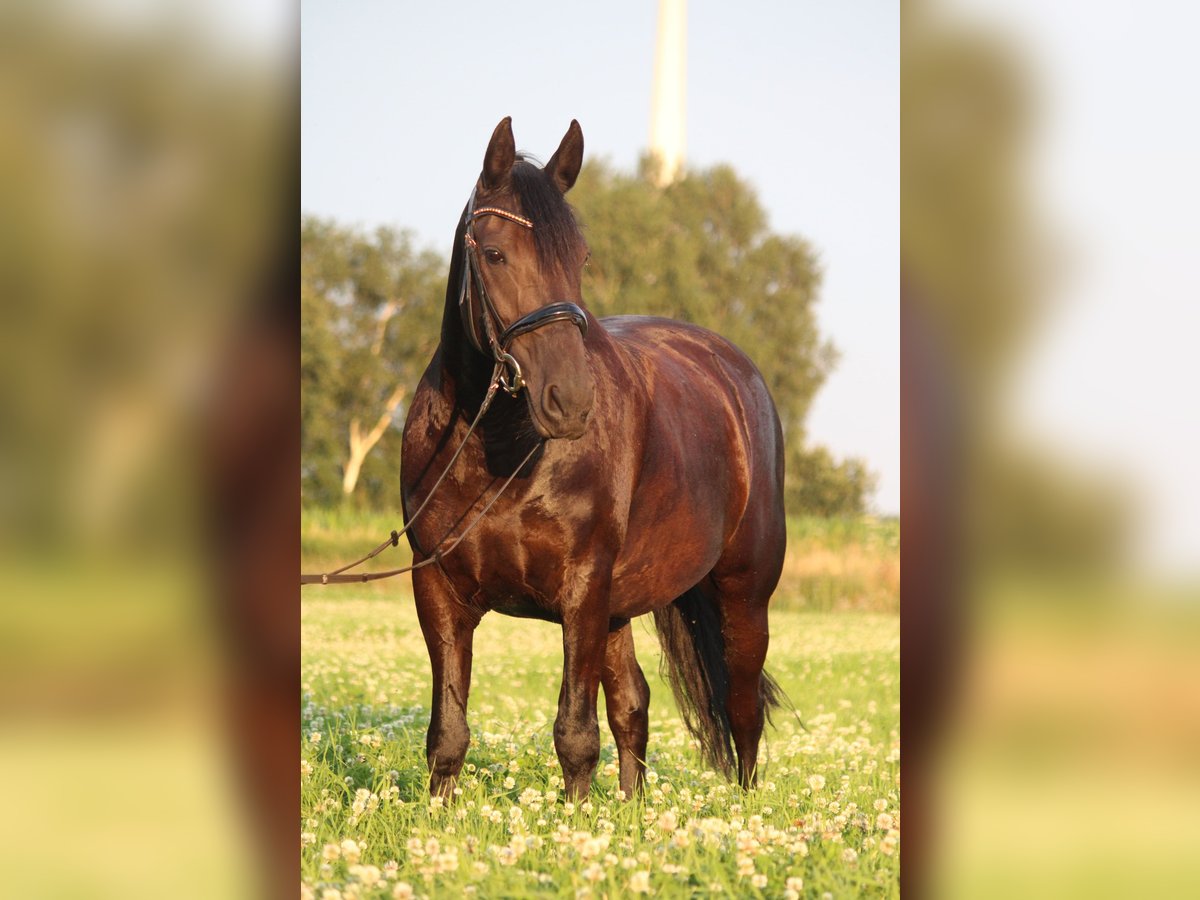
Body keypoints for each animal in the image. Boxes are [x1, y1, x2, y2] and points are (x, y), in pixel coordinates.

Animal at [400, 116, 787, 801]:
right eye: (494, 254)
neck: (498, 452)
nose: (571, 401)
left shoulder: (581, 588)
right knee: (634, 703)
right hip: (620, 606)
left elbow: (575, 735)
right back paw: (631, 808)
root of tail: (738, 374)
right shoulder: (437, 586)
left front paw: (578, 824)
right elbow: (448, 734)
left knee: (741, 707)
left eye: (579, 258)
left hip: (743, 593)